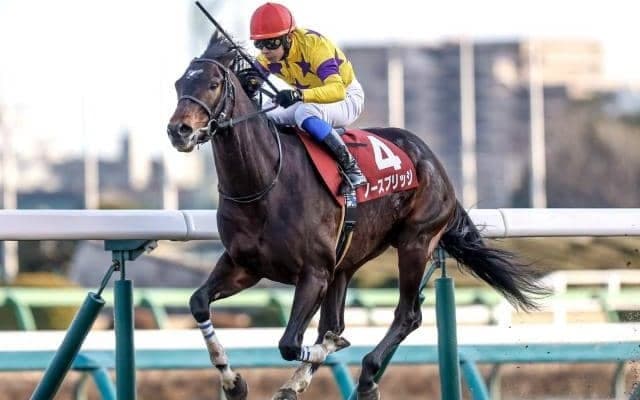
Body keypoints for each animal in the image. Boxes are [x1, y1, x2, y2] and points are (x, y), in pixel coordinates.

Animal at [166, 33, 548, 400]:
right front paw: (233, 382)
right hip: (347, 261)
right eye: (179, 83)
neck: (264, 184)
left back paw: (366, 376)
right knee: (337, 320)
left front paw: (321, 356)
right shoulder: (243, 265)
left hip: (415, 242)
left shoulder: (314, 272)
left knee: (407, 314)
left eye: (214, 83)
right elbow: (199, 303)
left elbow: (291, 343)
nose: (178, 130)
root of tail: (430, 158)